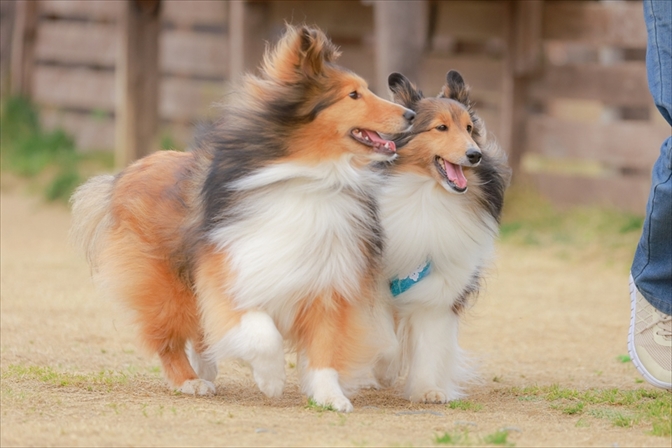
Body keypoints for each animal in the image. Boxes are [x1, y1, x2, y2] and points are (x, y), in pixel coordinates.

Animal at [372, 72, 510, 404]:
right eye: (441, 127)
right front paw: (384, 370)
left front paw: (427, 390)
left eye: (470, 128)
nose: (475, 155)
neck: (425, 197)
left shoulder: (439, 287)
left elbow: (430, 342)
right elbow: (384, 338)